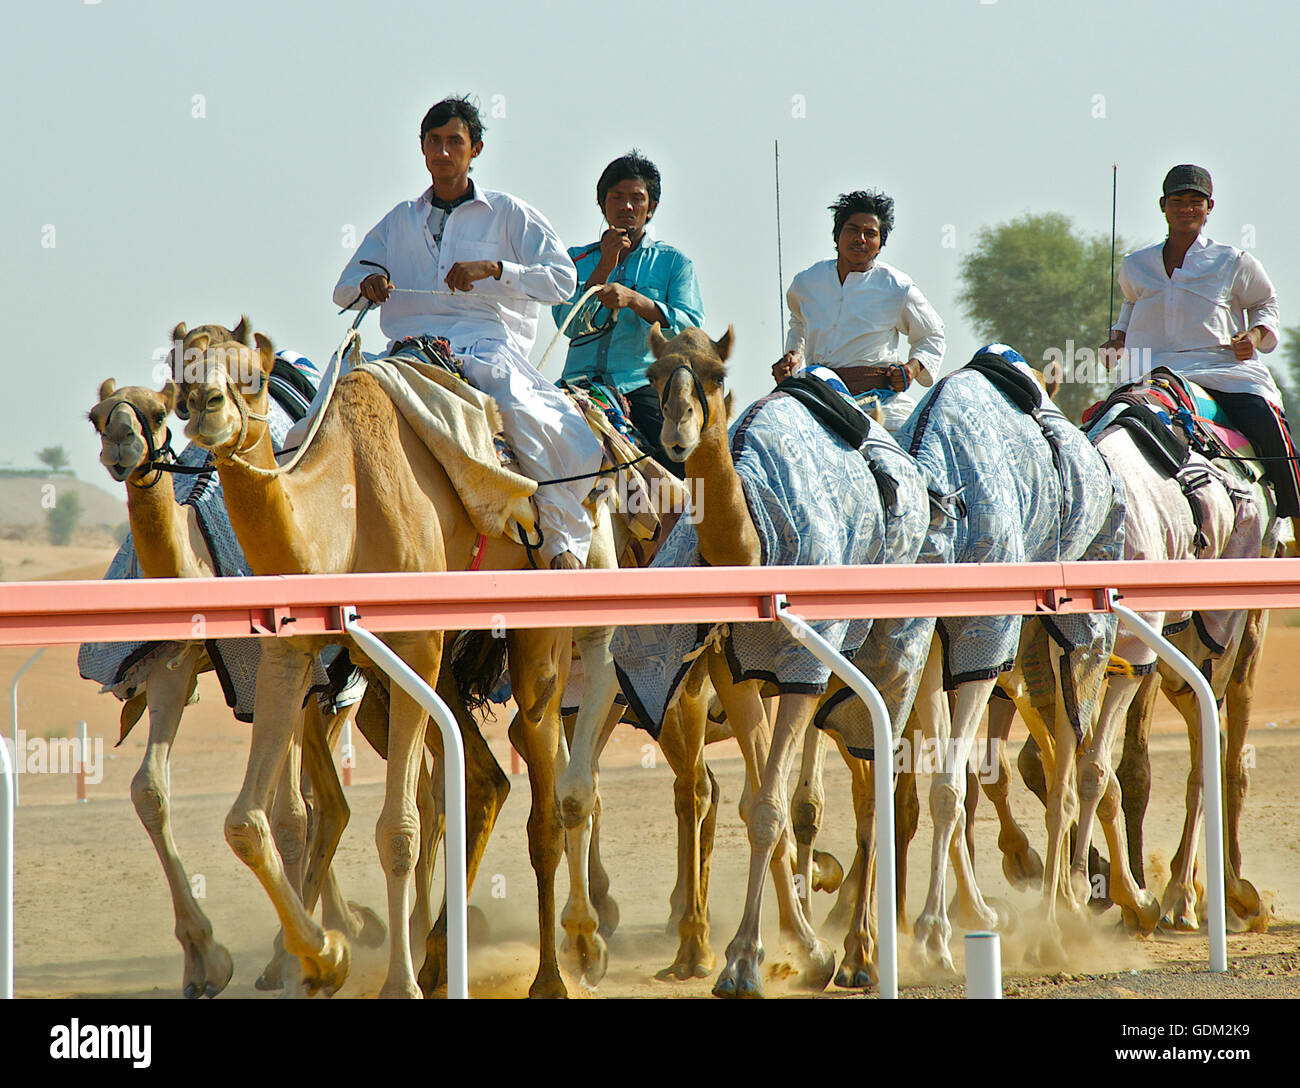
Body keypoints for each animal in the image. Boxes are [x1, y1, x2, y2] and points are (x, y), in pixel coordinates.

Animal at [83, 376, 379, 998]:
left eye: (157, 412)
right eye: (96, 416)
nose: (121, 442)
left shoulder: (273, 665)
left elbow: (287, 814)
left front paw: (295, 957)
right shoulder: (172, 663)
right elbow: (149, 791)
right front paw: (204, 959)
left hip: (335, 686)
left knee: (314, 800)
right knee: (323, 798)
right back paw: (348, 922)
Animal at [176, 314, 618, 993]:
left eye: (251, 374)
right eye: (180, 375)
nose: (207, 407)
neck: (346, 512)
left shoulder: (413, 638)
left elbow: (399, 830)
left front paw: (395, 984)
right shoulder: (291, 651)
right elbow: (246, 822)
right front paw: (324, 958)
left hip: (540, 620)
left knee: (551, 781)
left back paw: (556, 969)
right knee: (489, 780)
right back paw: (443, 956)